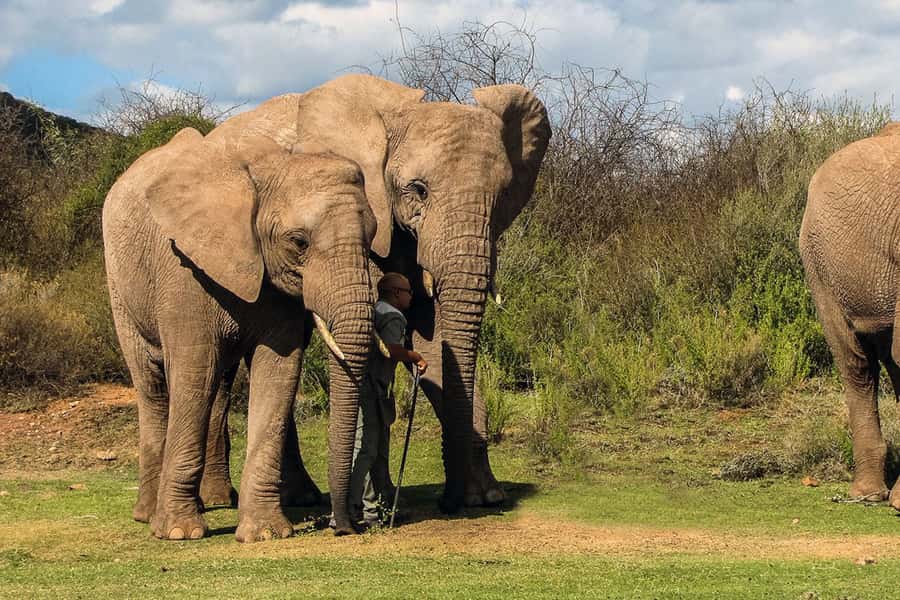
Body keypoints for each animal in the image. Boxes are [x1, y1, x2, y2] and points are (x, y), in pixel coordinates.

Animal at [102, 125, 377, 539]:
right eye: (298, 242)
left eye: (373, 235)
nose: (345, 527)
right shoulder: (183, 267)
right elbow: (194, 371)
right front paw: (180, 533)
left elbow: (278, 372)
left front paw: (266, 533)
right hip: (120, 282)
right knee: (152, 385)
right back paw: (149, 514)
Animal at [201, 73, 551, 513]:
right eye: (418, 190)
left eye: (503, 194)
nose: (448, 503)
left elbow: (435, 340)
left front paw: (484, 496)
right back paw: (226, 498)